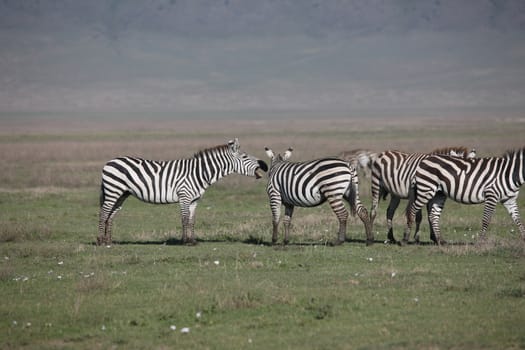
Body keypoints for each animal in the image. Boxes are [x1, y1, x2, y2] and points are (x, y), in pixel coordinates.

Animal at [98, 138, 268, 245]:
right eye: (245, 156)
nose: (264, 165)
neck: (199, 172)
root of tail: (109, 162)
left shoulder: (194, 200)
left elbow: (192, 220)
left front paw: (192, 240)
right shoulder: (184, 196)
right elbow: (185, 219)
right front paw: (185, 242)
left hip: (122, 194)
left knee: (111, 215)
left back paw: (109, 241)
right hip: (113, 190)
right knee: (104, 213)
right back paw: (100, 241)